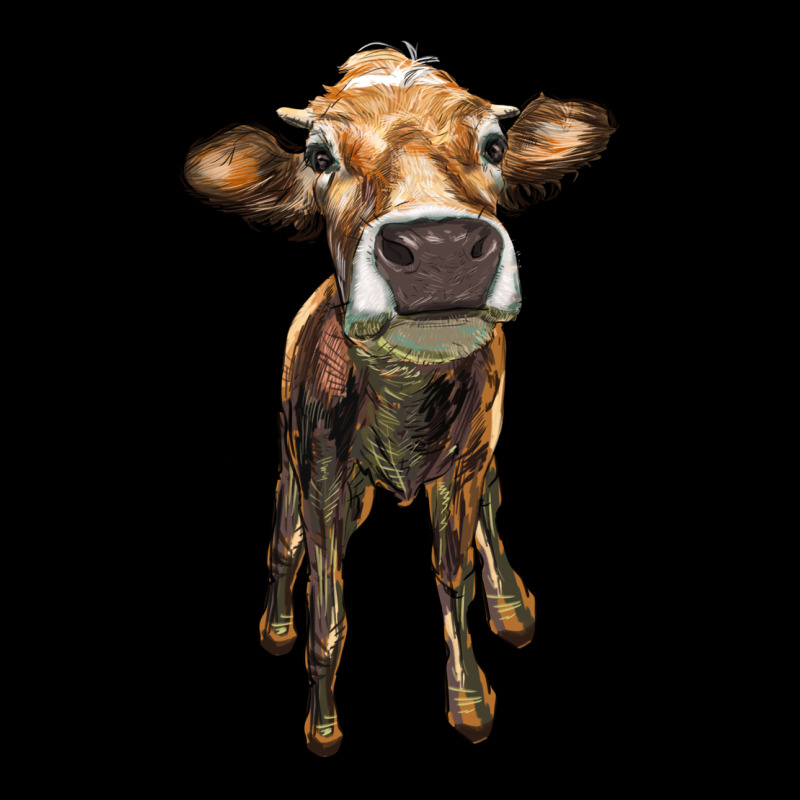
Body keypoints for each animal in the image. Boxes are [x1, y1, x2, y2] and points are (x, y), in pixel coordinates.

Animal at [184, 42, 614, 757]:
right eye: (319, 156)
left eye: (495, 145)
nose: (442, 251)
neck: (404, 396)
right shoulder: (324, 479)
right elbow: (327, 610)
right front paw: (323, 727)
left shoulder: (466, 462)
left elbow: (452, 574)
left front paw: (470, 702)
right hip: (293, 453)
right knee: (281, 539)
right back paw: (275, 627)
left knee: (492, 507)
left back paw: (512, 608)